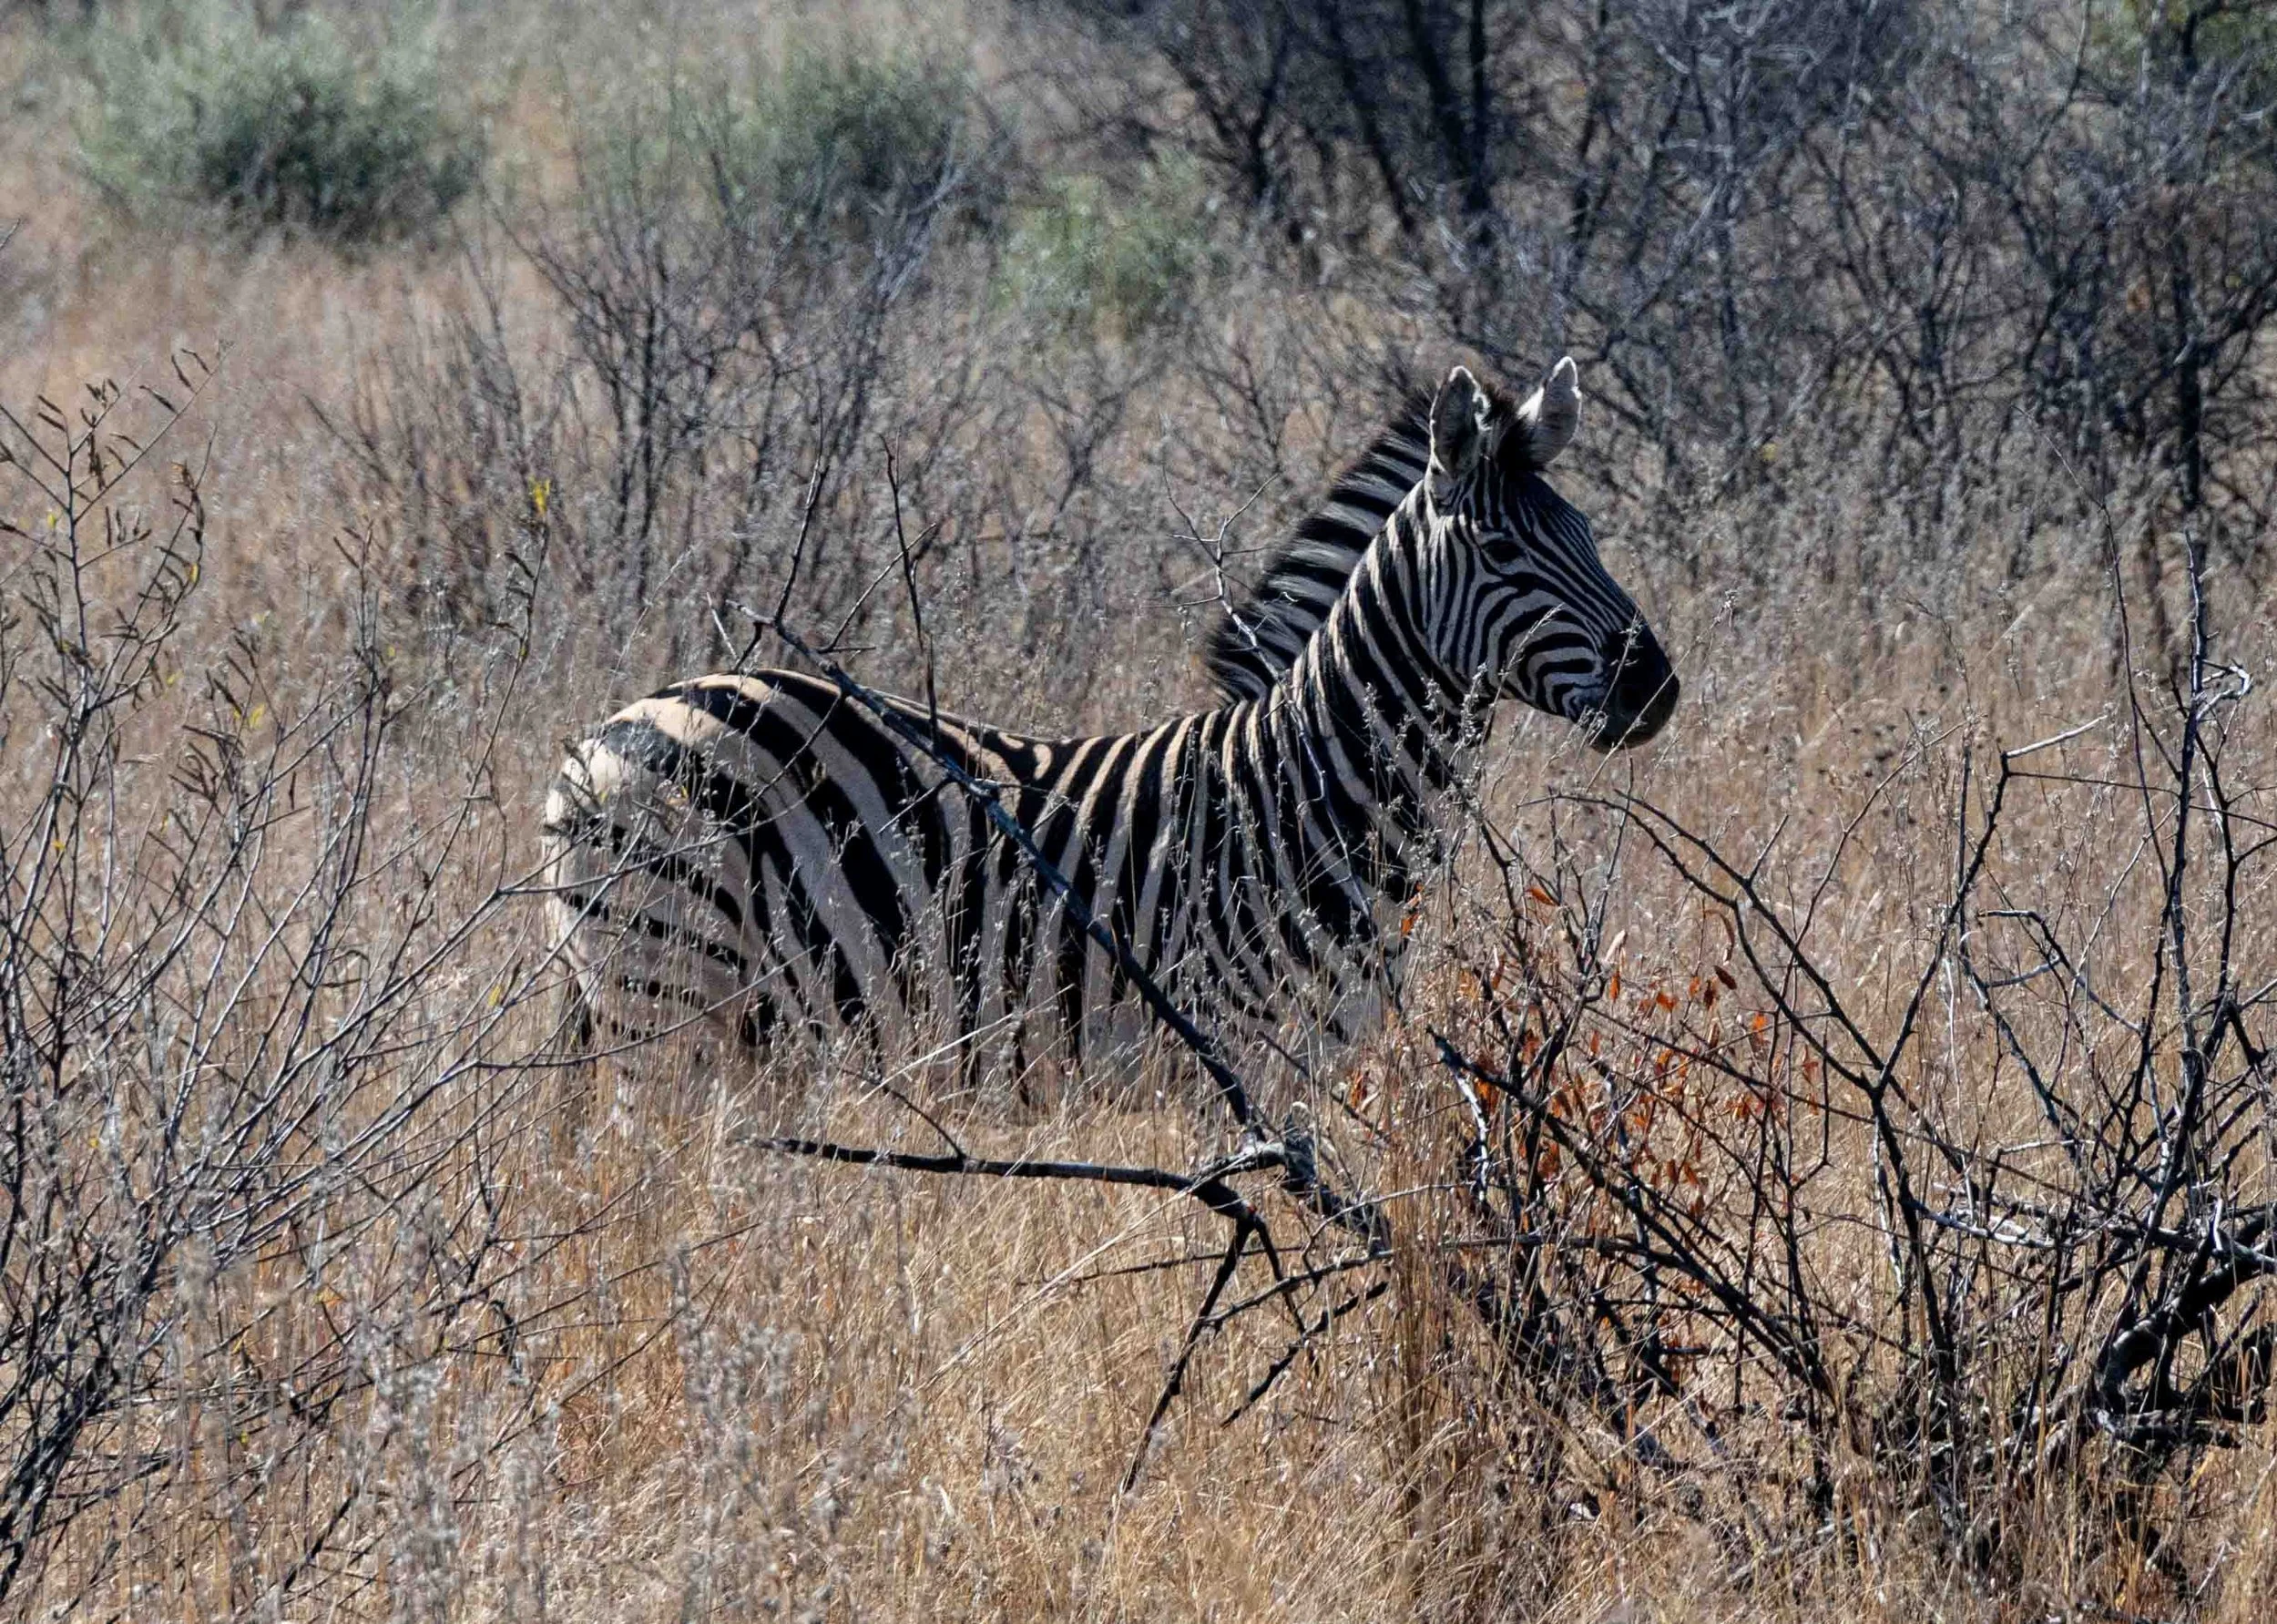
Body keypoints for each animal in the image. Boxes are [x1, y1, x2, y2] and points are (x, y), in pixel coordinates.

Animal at [539, 359, 1677, 1084]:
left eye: (1588, 534)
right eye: (1502, 550)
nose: (1655, 688)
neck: (1309, 792)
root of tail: (602, 735)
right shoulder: (1232, 1060)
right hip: (671, 1001)